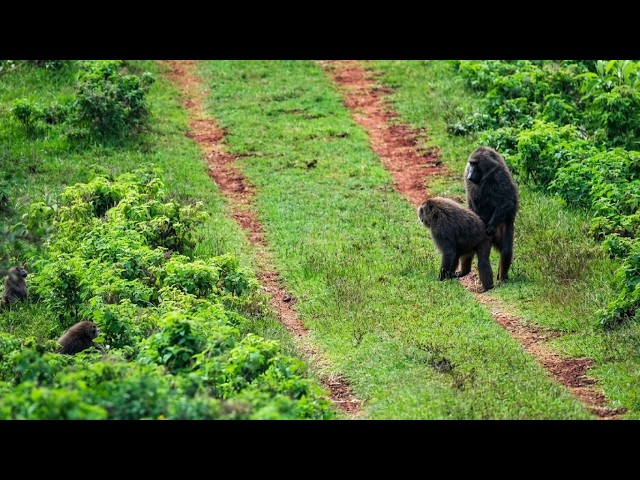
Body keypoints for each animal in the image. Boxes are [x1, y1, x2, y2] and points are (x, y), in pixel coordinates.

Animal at [464, 146, 519, 281]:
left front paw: (490, 225)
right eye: (471, 164)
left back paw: (502, 277)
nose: (470, 175)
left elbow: (508, 199)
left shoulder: (499, 174)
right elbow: (471, 202)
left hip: (502, 226)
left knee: (506, 251)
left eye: (475, 164)